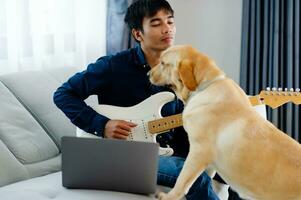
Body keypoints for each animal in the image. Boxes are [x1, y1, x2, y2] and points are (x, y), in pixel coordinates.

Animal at [149, 45, 300, 200]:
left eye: (162, 63)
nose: (148, 74)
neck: (205, 87)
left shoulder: (198, 151)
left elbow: (182, 180)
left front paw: (169, 196)